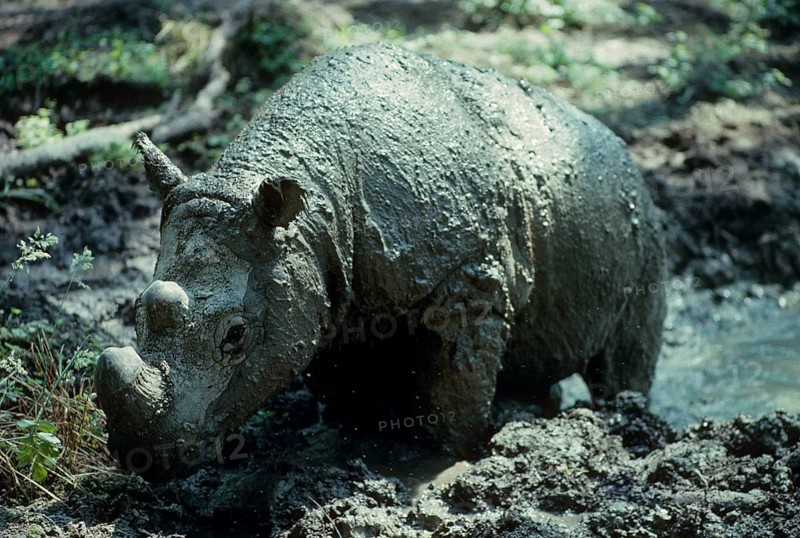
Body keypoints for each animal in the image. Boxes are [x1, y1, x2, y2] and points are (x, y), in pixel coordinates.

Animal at [95, 43, 666, 475]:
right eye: (138, 310)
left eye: (235, 336)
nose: (144, 458)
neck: (312, 201)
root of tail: (624, 152)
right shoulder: (321, 273)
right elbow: (332, 367)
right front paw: (358, 435)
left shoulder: (467, 275)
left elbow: (456, 385)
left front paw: (445, 457)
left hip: (640, 226)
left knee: (627, 352)